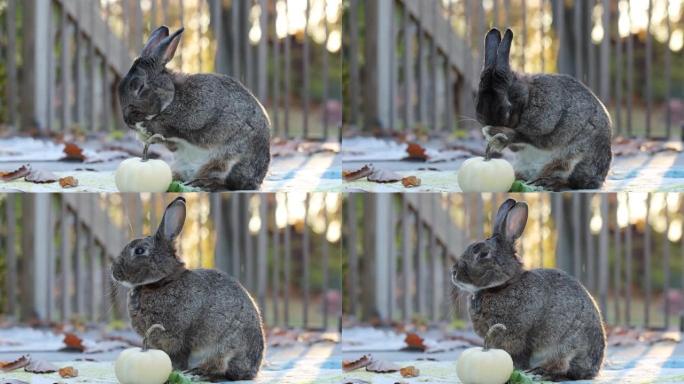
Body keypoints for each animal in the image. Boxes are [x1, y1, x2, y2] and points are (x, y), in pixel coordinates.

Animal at [112, 198, 264, 380]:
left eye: (140, 250)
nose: (114, 272)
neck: (162, 282)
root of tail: (253, 368)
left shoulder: (177, 338)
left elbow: (179, 355)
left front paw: (175, 370)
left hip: (226, 345)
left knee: (220, 366)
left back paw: (199, 371)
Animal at [117, 26, 270, 191]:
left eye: (140, 87)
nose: (128, 120)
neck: (172, 99)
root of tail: (257, 178)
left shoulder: (196, 120)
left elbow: (173, 129)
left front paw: (147, 127)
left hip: (226, 161)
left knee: (226, 181)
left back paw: (202, 183)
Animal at [454, 200, 604, 380]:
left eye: (483, 254)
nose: (453, 273)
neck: (501, 287)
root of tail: (594, 367)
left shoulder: (519, 337)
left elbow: (520, 354)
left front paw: (517, 369)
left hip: (567, 345)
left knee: (562, 366)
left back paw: (541, 372)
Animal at [476, 28, 616, 192]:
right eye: (477, 99)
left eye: (507, 108)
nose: (488, 123)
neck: (527, 97)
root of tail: (600, 178)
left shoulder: (545, 125)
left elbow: (524, 136)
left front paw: (495, 134)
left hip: (571, 159)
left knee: (572, 181)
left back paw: (546, 183)